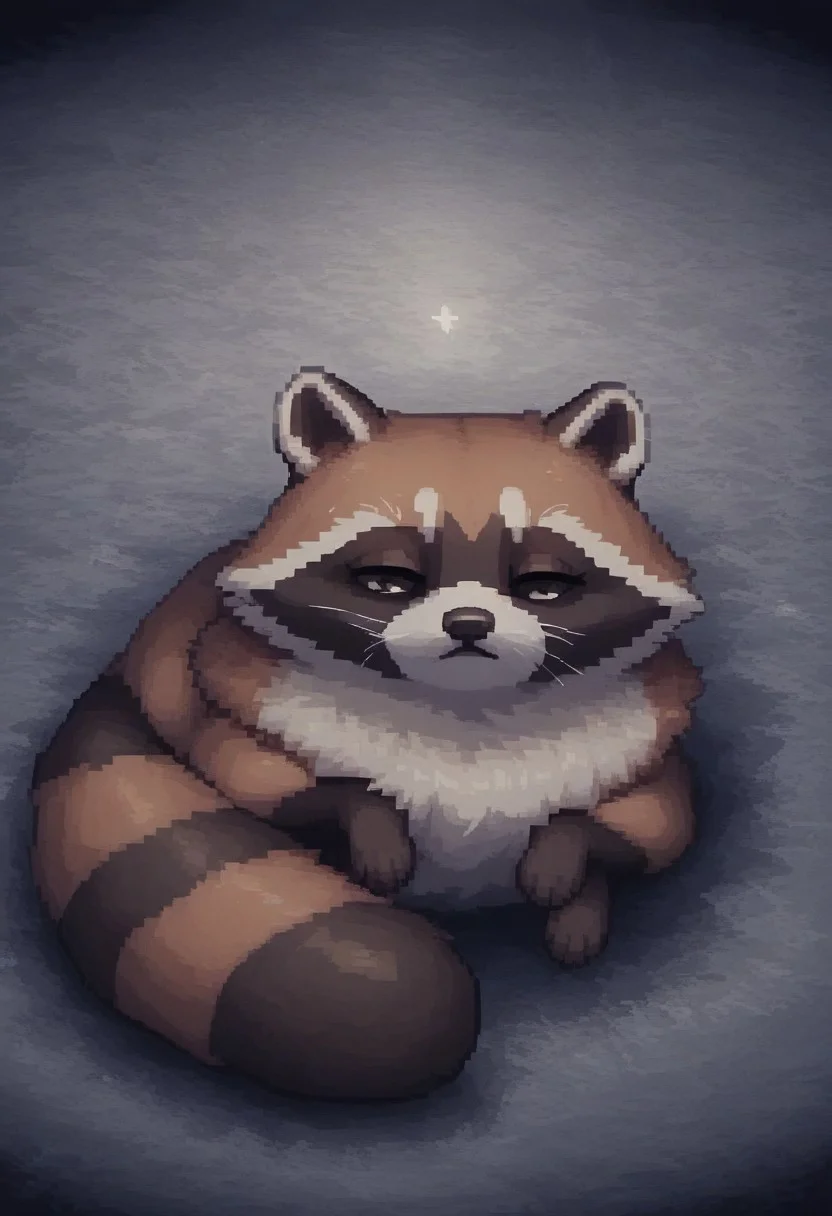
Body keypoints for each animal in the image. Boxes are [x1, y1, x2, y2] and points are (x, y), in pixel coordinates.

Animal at [31, 367, 704, 1103]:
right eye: (388, 579)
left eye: (544, 586)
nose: (469, 624)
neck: (465, 708)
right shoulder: (239, 706)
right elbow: (279, 782)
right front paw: (370, 816)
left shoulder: (646, 748)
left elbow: (650, 830)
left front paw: (566, 861)